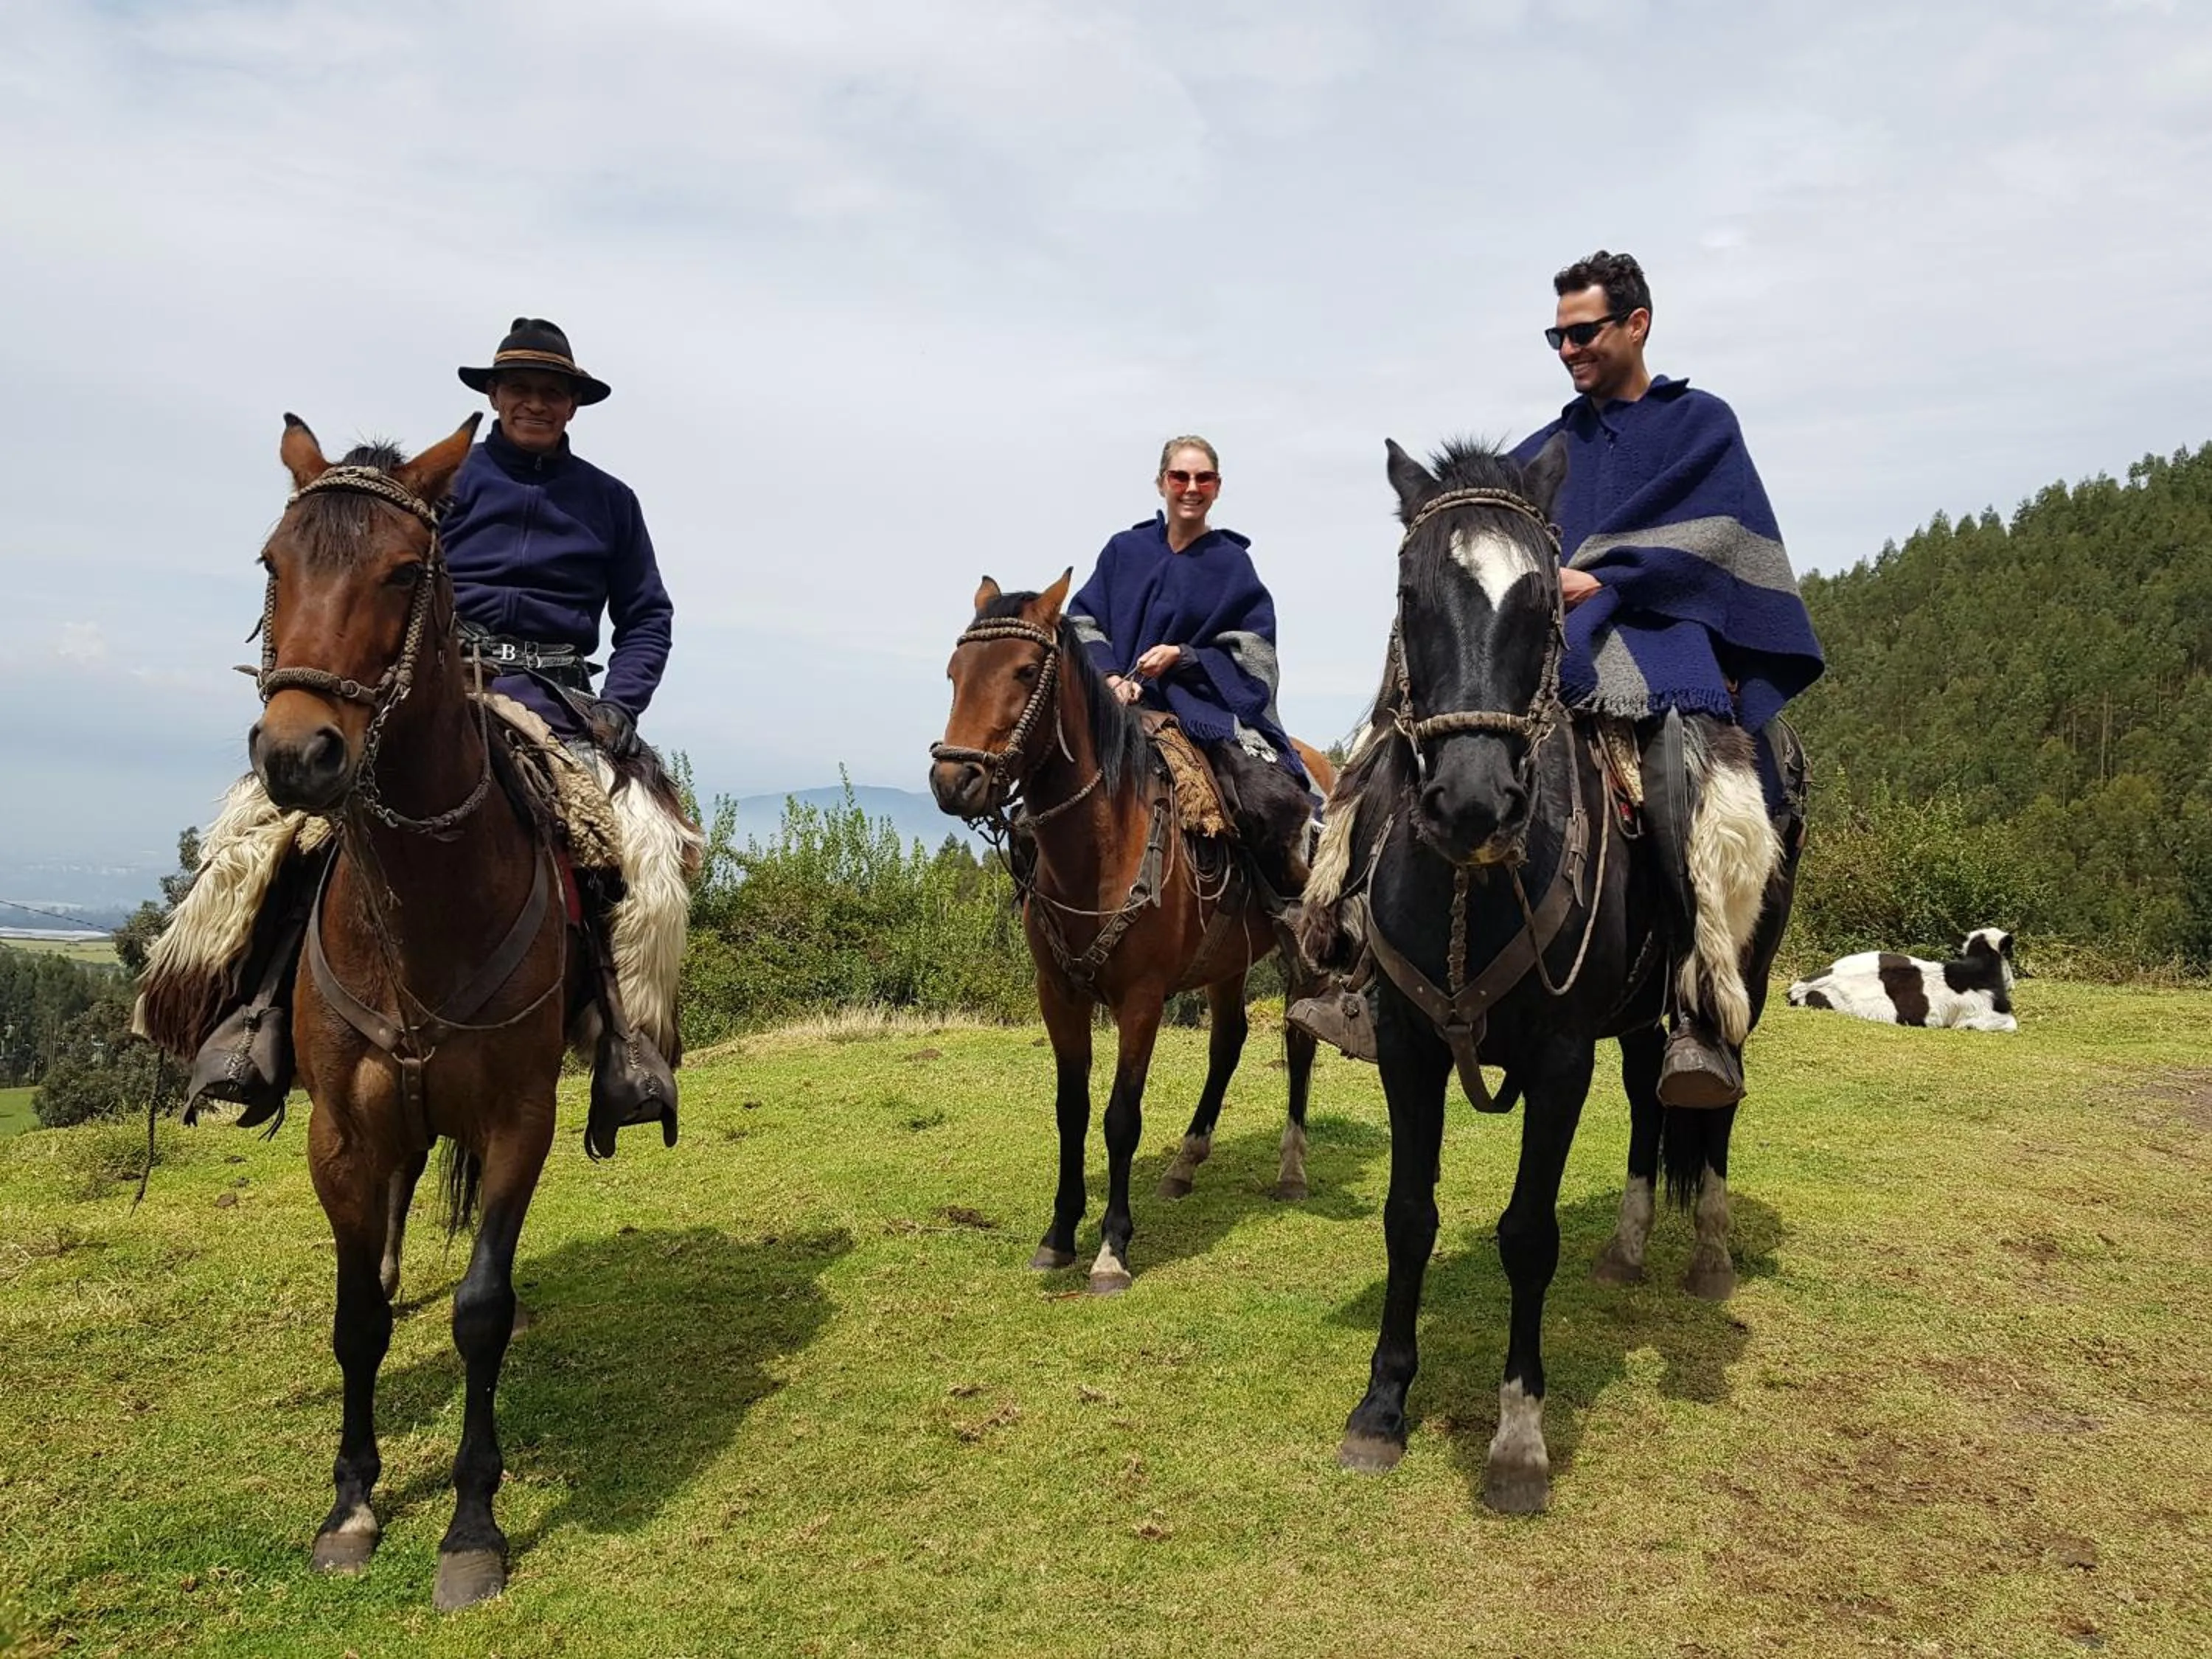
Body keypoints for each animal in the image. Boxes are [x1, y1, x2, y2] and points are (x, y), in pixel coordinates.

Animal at [250, 414, 578, 1610]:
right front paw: (349, 1506)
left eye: (401, 572)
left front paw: (472, 1524)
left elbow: (482, 1310)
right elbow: (356, 1319)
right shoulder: (343, 1134)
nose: (298, 755)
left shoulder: (521, 1121)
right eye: (274, 564)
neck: (421, 909)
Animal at [928, 571, 1337, 1296]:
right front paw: (1059, 1234)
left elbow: (1121, 1117)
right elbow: (1071, 1109)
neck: (1101, 844)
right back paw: (1186, 1160)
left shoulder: (1142, 999)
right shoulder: (1058, 994)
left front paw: (1111, 1248)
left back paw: (1292, 1168)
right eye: (955, 673)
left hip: (1301, 955)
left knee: (1299, 1040)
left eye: (1025, 670)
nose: (956, 780)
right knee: (1228, 1043)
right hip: (1227, 961)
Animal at [1307, 436, 1800, 1512]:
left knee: (1716, 1099)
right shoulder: (1408, 1045)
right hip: (1642, 1016)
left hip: (1738, 971)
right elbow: (1408, 1217)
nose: (1473, 801)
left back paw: (1707, 1248)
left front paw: (1519, 1438)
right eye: (1409, 591)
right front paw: (1381, 1408)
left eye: (1545, 597)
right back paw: (1627, 1245)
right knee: (1655, 1095)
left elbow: (1528, 1233)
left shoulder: (1562, 1056)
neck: (1473, 885)